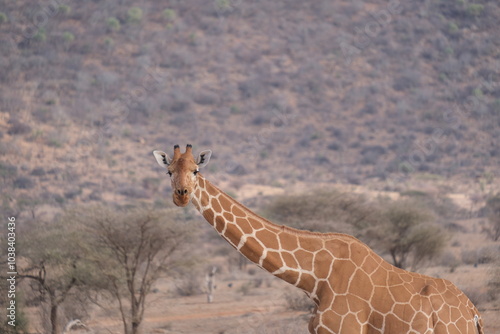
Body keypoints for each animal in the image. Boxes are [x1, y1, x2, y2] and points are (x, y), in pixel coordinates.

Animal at [153, 145, 484, 332]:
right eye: (169, 171)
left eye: (196, 170)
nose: (181, 195)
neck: (315, 278)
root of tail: (473, 313)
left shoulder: (343, 331)